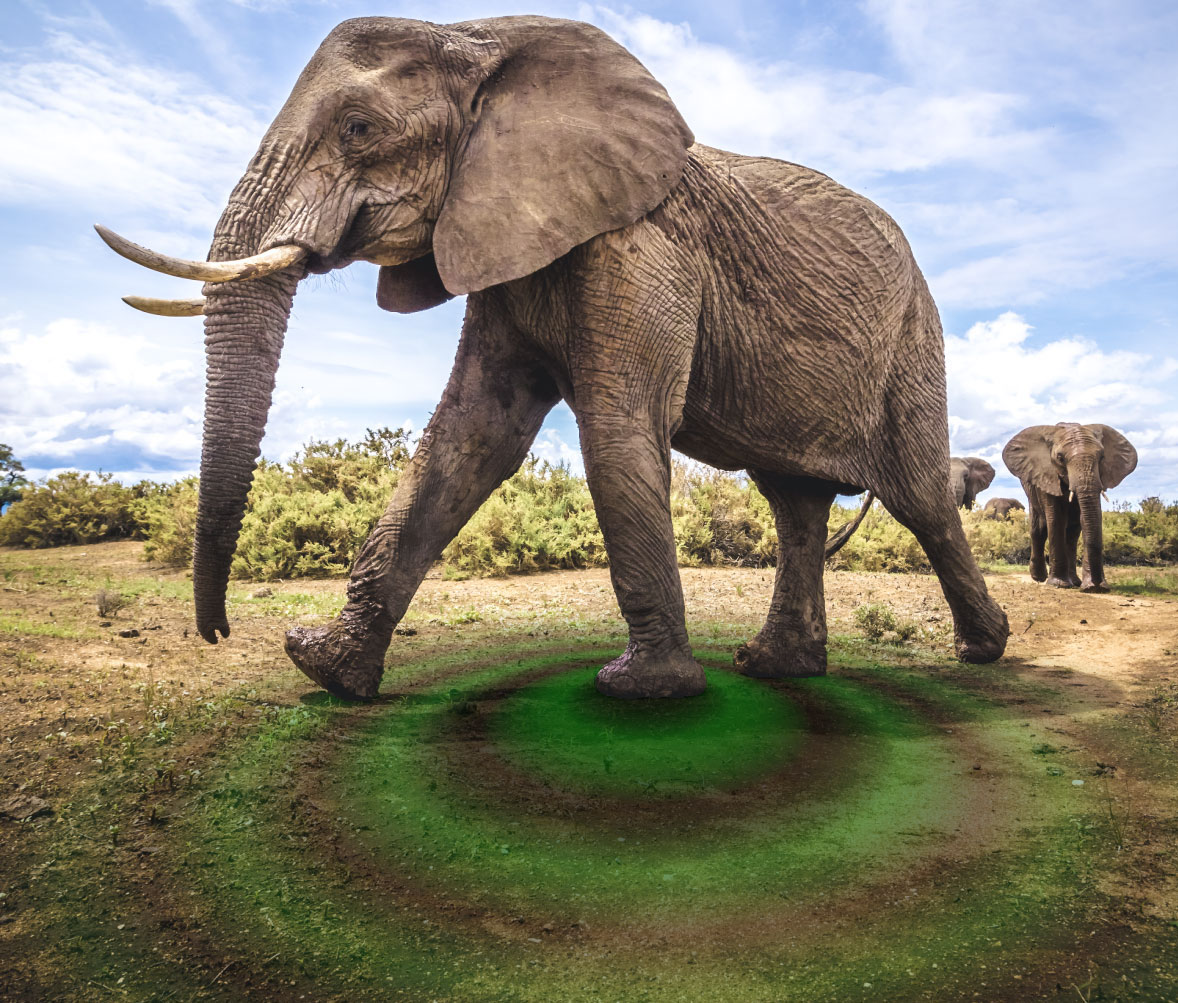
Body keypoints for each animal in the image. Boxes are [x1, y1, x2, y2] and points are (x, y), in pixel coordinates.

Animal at [97, 15, 1009, 701]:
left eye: (358, 130)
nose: (218, 631)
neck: (478, 39)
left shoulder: (640, 247)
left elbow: (616, 429)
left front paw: (643, 689)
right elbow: (469, 439)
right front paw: (326, 666)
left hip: (912, 340)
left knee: (920, 498)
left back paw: (982, 651)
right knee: (793, 504)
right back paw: (775, 666)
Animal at [1002, 423, 1137, 592]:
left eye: (1102, 457)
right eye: (1060, 458)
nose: (1097, 585)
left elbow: (1087, 519)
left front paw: (1091, 587)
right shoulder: (1047, 475)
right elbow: (1056, 519)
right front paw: (1059, 584)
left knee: (1072, 533)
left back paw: (1075, 582)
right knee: (1039, 529)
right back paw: (1040, 578)